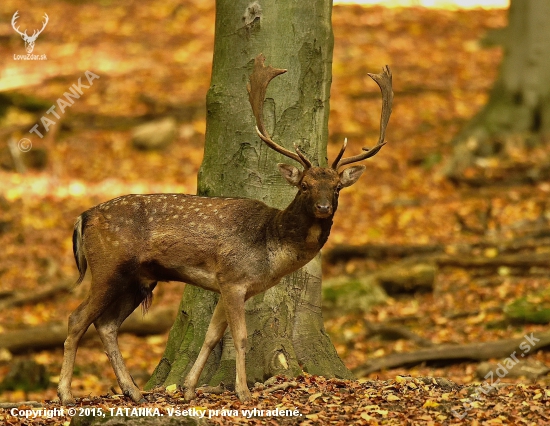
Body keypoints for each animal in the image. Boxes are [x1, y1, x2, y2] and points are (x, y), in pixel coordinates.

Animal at [57, 55, 392, 404]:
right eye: (305, 185)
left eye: (337, 187)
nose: (323, 207)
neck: (271, 248)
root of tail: (83, 217)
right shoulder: (233, 279)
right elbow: (240, 337)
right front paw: (243, 392)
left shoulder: (223, 284)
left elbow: (211, 335)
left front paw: (189, 389)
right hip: (108, 266)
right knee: (77, 319)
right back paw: (66, 394)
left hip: (139, 278)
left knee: (107, 325)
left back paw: (133, 391)